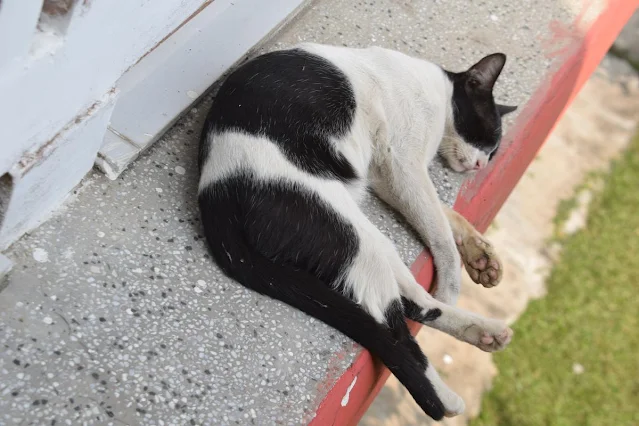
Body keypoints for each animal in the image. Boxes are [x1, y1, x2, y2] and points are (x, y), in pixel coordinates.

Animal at [200, 44, 520, 420]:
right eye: (486, 137)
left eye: (493, 151)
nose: (481, 165)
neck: (438, 92)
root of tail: (216, 199)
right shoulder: (403, 164)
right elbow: (439, 229)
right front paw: (452, 281)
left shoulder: (386, 177)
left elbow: (447, 215)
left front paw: (480, 254)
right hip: (354, 236)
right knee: (396, 326)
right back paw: (446, 396)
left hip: (368, 238)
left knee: (412, 305)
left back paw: (483, 332)